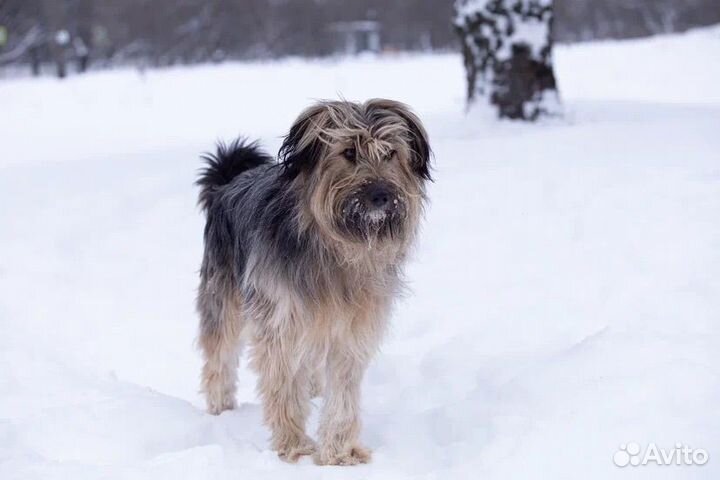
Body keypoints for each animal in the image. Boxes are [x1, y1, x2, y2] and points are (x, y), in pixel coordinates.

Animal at [195, 98, 428, 464]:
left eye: (390, 152)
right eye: (348, 152)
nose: (380, 195)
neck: (333, 248)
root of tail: (228, 182)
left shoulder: (352, 329)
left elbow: (343, 393)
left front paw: (340, 451)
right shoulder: (281, 322)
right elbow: (284, 386)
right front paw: (294, 446)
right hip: (223, 296)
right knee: (219, 356)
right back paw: (221, 409)